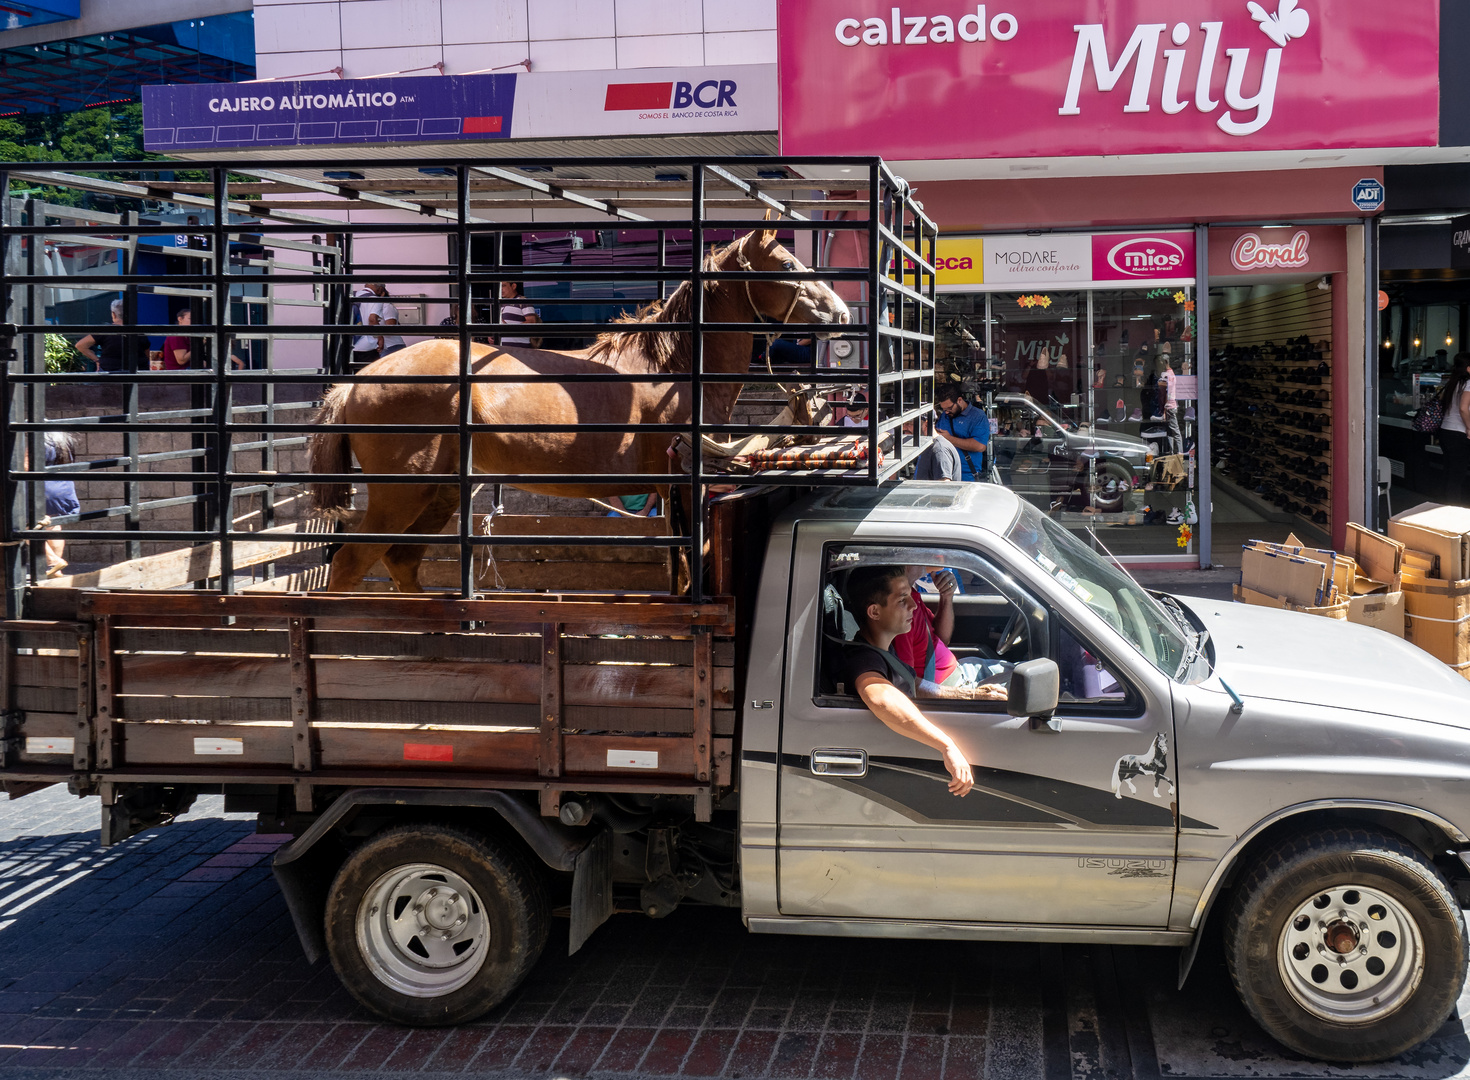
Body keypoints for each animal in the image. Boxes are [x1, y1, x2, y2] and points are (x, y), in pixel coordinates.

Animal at [307, 227, 852, 590]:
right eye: (787, 266)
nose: (842, 313)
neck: (675, 364)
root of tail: (353, 384)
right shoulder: (684, 483)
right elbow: (687, 562)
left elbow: (678, 565)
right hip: (401, 495)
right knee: (352, 564)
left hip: (439, 494)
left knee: (401, 561)